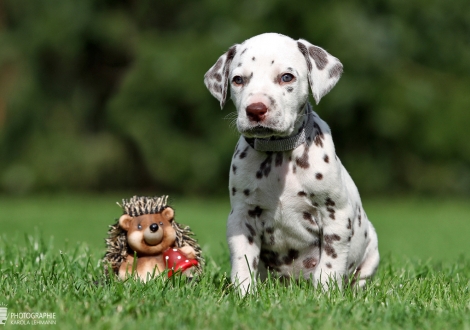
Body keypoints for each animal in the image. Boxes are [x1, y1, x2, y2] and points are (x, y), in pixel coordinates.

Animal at [204, 32, 380, 292]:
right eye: (237, 80)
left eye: (286, 77)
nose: (255, 109)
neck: (278, 152)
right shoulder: (241, 217)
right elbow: (243, 260)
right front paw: (243, 291)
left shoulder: (335, 215)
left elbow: (330, 261)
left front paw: (326, 293)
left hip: (371, 250)